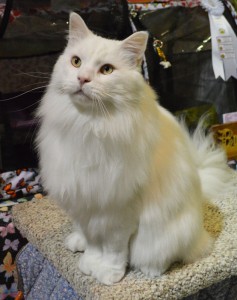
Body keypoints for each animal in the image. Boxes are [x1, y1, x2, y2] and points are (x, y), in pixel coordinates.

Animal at [36, 12, 231, 286]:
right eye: (76, 62)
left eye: (106, 69)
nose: (82, 79)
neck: (89, 126)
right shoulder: (87, 200)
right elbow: (94, 244)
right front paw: (89, 264)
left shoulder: (118, 210)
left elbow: (114, 251)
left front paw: (108, 274)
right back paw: (77, 243)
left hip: (168, 233)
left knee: (167, 255)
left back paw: (151, 270)